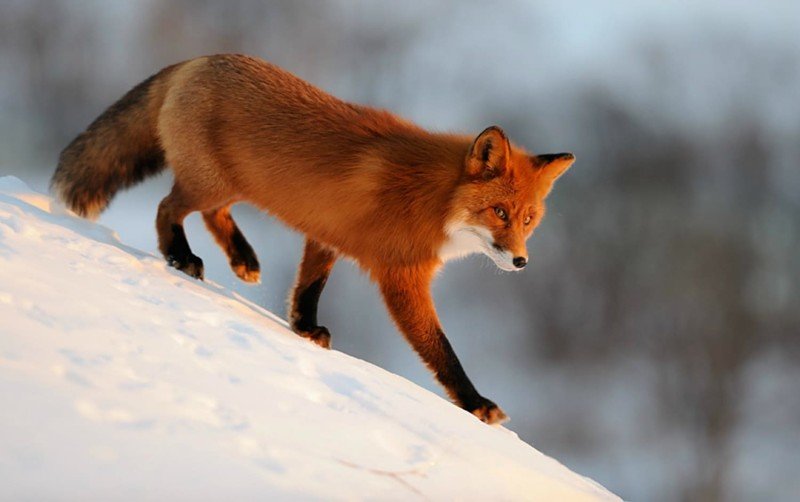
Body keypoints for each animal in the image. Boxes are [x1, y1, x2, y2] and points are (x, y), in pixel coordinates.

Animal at [51, 54, 574, 424]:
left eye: (529, 220)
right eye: (499, 212)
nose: (521, 262)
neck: (435, 198)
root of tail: (197, 59)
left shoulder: (328, 236)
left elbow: (309, 288)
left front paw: (304, 329)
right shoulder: (401, 277)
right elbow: (442, 350)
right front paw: (475, 403)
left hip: (230, 185)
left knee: (211, 214)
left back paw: (243, 259)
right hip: (212, 183)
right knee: (167, 208)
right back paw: (181, 256)